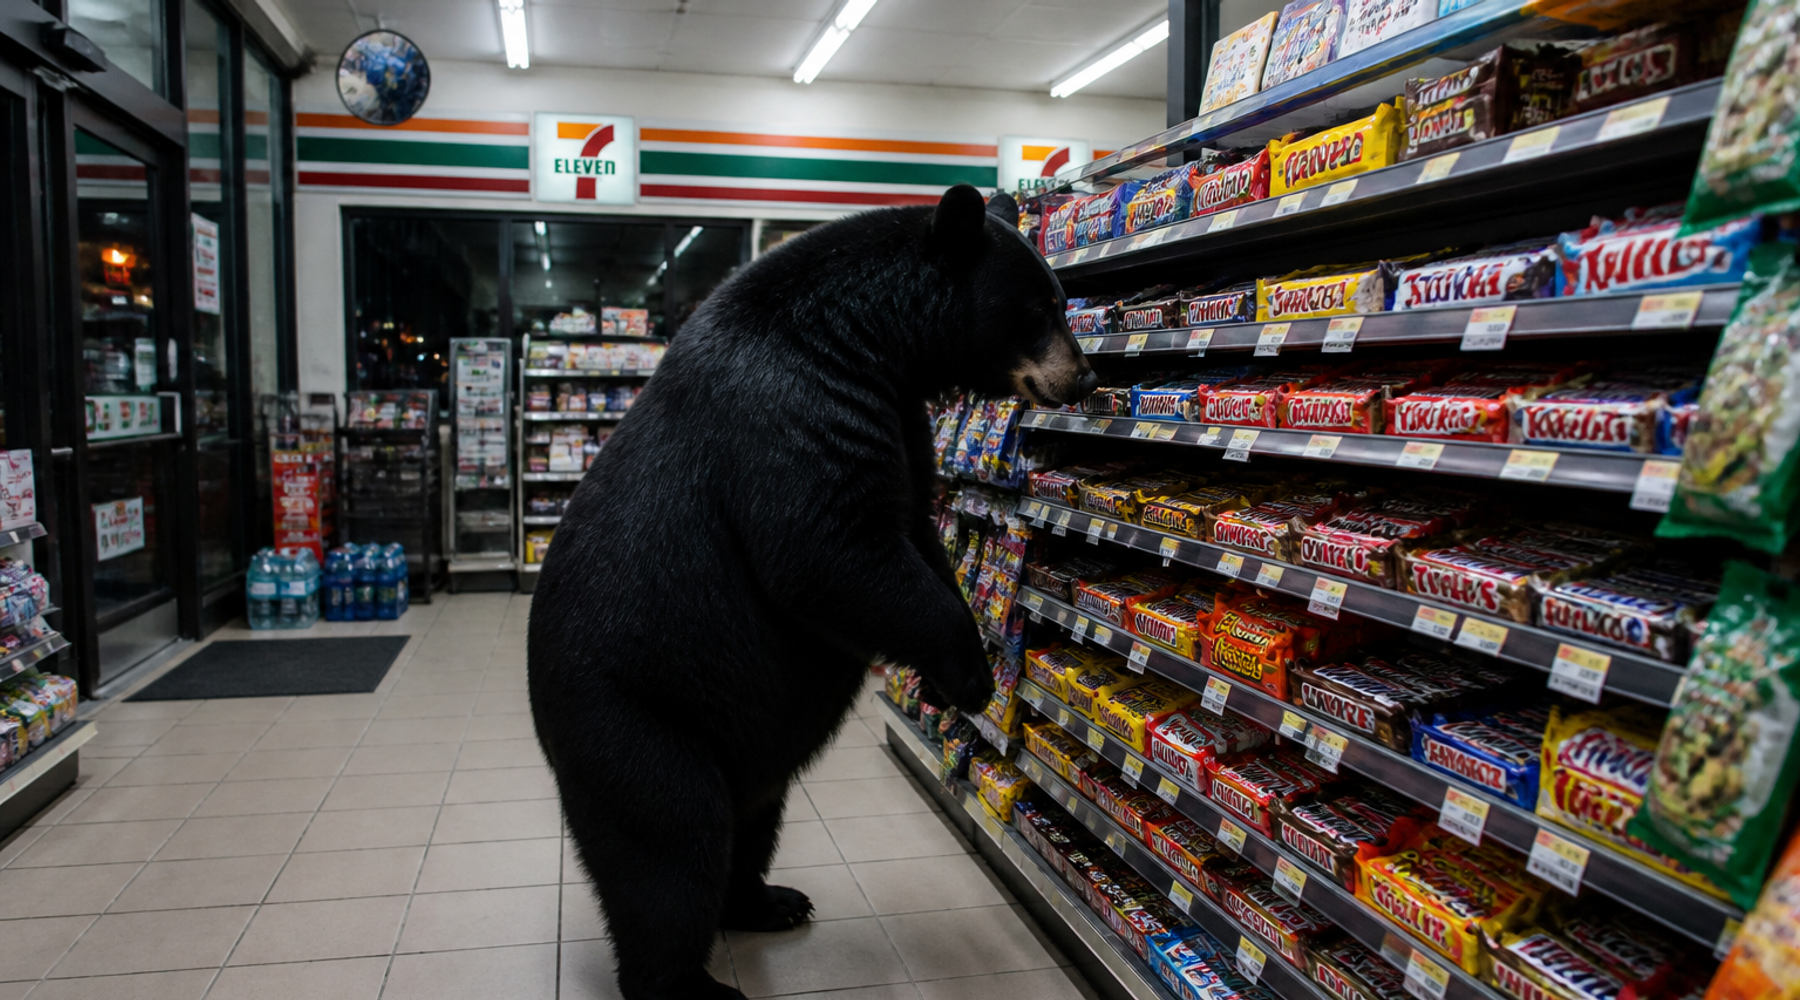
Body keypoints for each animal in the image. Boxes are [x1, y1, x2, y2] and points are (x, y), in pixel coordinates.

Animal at [527, 183, 1095, 1000]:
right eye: (1041, 306)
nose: (1085, 378)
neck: (868, 340)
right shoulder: (789, 404)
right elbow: (828, 547)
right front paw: (969, 675)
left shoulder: (897, 416)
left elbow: (914, 531)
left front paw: (952, 670)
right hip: (632, 716)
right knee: (668, 847)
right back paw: (690, 980)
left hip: (735, 750)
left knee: (751, 822)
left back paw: (769, 900)